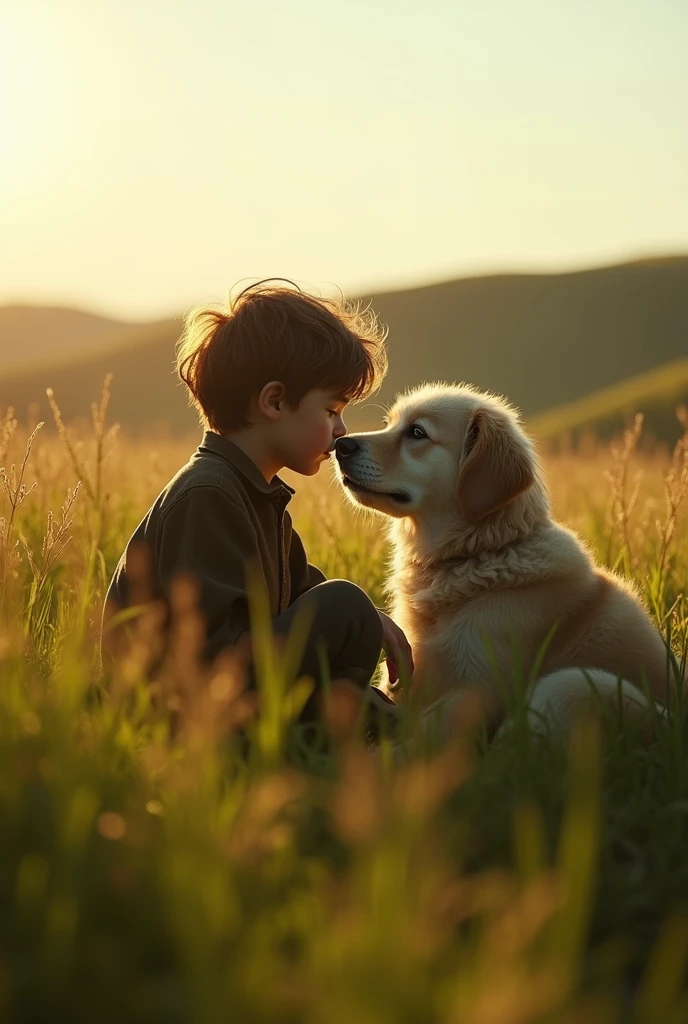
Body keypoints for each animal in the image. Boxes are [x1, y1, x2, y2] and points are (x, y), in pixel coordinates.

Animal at [333, 380, 675, 733]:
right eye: (389, 424)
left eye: (417, 432)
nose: (340, 445)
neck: (476, 555)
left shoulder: (477, 691)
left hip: (572, 684)